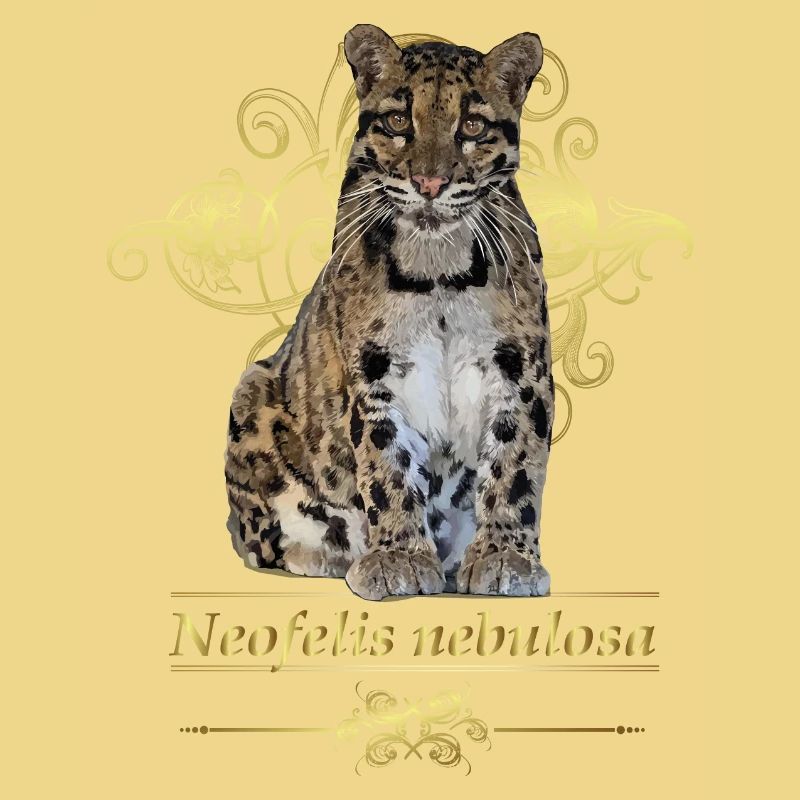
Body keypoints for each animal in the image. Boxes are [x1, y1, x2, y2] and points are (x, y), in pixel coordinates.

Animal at [225, 24, 554, 600]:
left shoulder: (521, 369)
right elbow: (386, 465)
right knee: (261, 539)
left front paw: (505, 557)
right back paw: (328, 554)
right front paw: (398, 557)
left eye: (472, 125)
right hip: (251, 391)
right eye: (400, 121)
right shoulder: (374, 371)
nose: (429, 184)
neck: (439, 270)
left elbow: (515, 464)